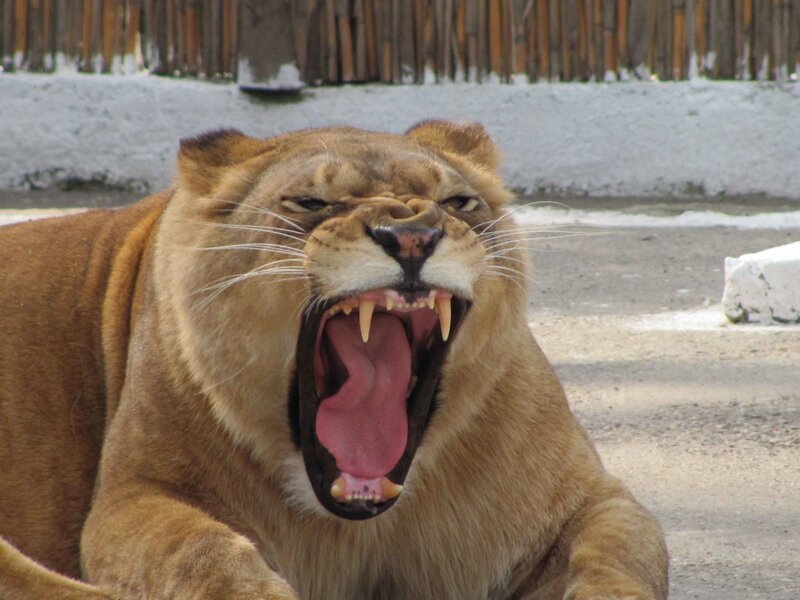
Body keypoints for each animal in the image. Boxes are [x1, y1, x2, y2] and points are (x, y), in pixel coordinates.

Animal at [0, 121, 668, 599]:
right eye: (310, 201)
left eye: (457, 201)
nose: (412, 237)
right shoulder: (131, 499)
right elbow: (205, 555)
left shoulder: (590, 500)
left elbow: (621, 559)